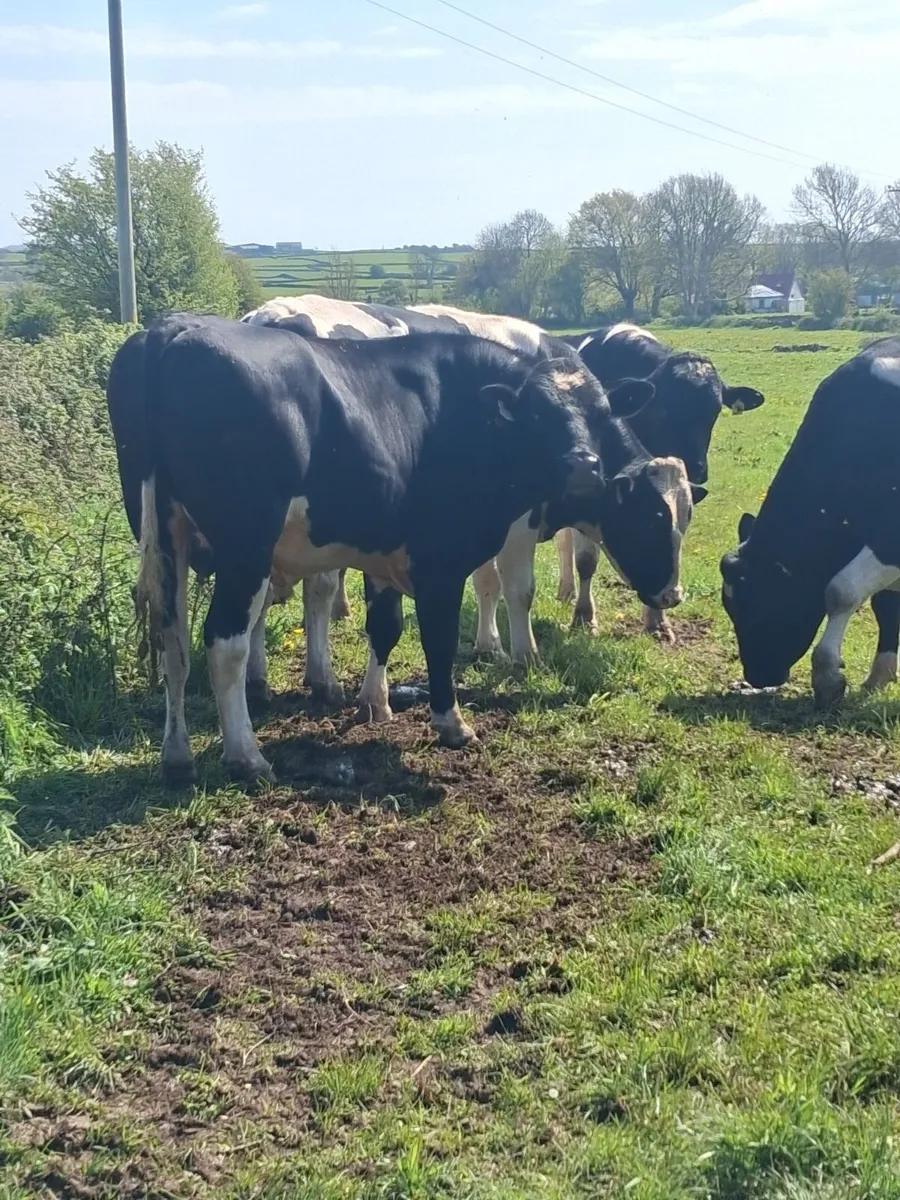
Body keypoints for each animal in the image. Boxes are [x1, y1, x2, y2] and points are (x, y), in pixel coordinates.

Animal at [109, 313, 680, 784]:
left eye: (599, 414)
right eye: (539, 415)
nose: (584, 467)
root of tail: (170, 331)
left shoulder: (386, 554)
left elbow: (385, 629)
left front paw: (375, 705)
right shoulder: (441, 560)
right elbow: (443, 638)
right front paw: (453, 722)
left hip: (166, 539)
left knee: (173, 640)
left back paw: (177, 755)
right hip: (245, 546)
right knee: (224, 643)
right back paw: (246, 755)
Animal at [548, 322, 765, 645]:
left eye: (715, 411)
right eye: (666, 406)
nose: (697, 467)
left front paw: (658, 622)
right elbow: (586, 560)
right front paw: (584, 619)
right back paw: (567, 591)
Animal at [720, 337, 900, 705]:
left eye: (758, 603)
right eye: (728, 606)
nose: (757, 675)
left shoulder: (891, 537)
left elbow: (841, 590)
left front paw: (827, 676)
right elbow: (886, 604)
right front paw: (878, 676)